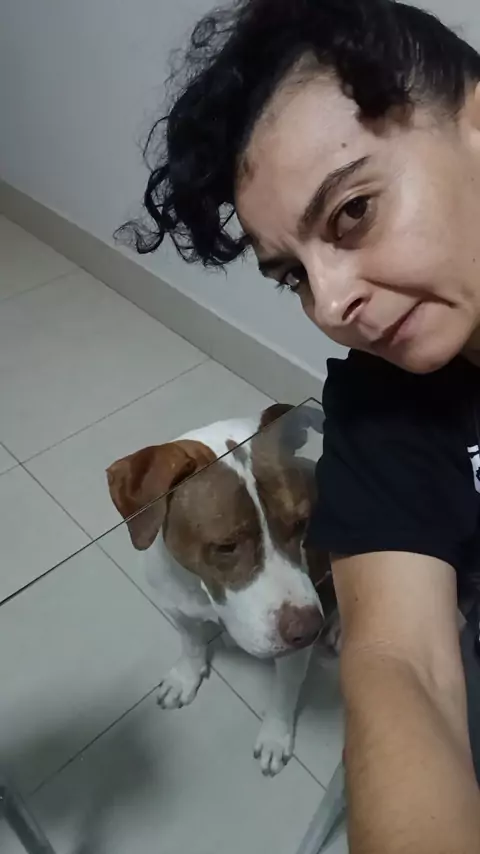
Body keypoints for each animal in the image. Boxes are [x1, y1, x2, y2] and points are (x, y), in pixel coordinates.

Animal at [106, 404, 335, 776]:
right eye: (226, 546)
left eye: (301, 523)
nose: (311, 628)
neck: (201, 591)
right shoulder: (175, 608)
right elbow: (191, 644)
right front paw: (185, 678)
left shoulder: (294, 653)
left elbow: (284, 692)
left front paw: (275, 736)